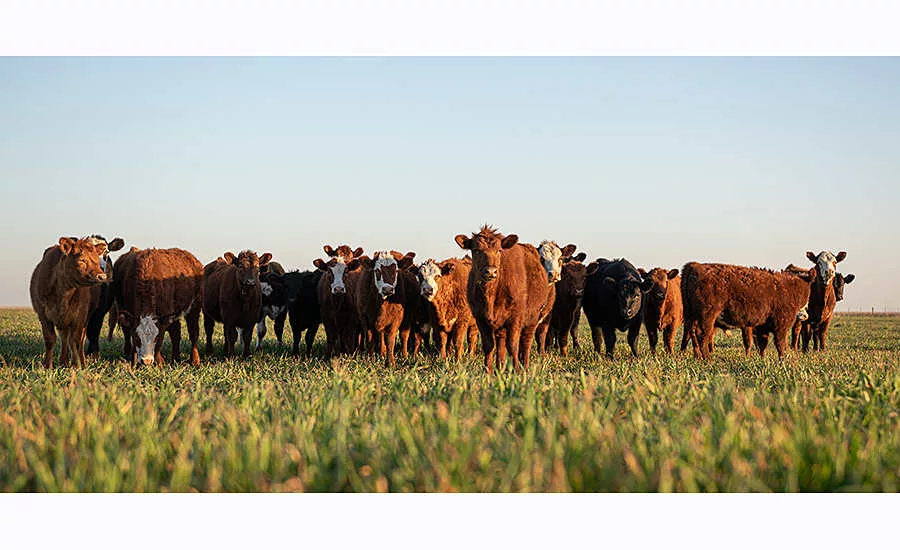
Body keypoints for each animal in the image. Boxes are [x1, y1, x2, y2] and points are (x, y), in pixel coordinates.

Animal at [30, 237, 109, 368]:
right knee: (64, 338)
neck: (63, 291)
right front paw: (47, 366)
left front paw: (77, 365)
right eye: (82, 259)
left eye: (97, 261)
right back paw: (64, 361)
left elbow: (75, 341)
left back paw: (80, 361)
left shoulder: (80, 315)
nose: (102, 276)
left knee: (79, 340)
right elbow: (50, 339)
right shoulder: (43, 315)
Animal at [454, 225, 552, 374]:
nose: (491, 271)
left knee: (526, 342)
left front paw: (517, 371)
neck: (491, 295)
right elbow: (489, 345)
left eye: (499, 250)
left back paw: (525, 367)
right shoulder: (480, 318)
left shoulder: (515, 317)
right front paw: (488, 371)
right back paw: (500, 368)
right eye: (476, 250)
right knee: (501, 343)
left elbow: (513, 345)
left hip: (532, 319)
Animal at [681, 262, 816, 360]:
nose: (805, 315)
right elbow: (781, 344)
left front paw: (762, 360)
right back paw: (707, 359)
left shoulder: (762, 326)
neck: (790, 288)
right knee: (702, 336)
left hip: (693, 317)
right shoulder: (781, 325)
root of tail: (695, 266)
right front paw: (784, 360)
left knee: (692, 334)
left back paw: (698, 357)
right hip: (707, 316)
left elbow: (762, 344)